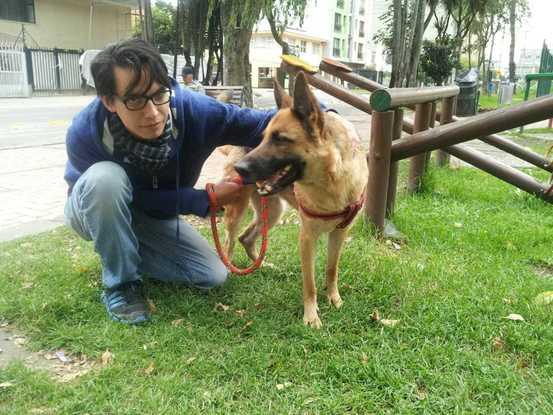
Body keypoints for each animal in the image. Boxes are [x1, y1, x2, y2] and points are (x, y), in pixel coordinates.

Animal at [220, 72, 366, 328]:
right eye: (263, 138)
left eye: (280, 139)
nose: (240, 169)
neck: (334, 180)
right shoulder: (307, 238)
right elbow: (310, 284)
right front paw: (311, 316)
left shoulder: (339, 234)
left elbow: (332, 269)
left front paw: (334, 299)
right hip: (237, 212)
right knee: (228, 241)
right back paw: (230, 270)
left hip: (272, 213)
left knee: (245, 238)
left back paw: (261, 264)